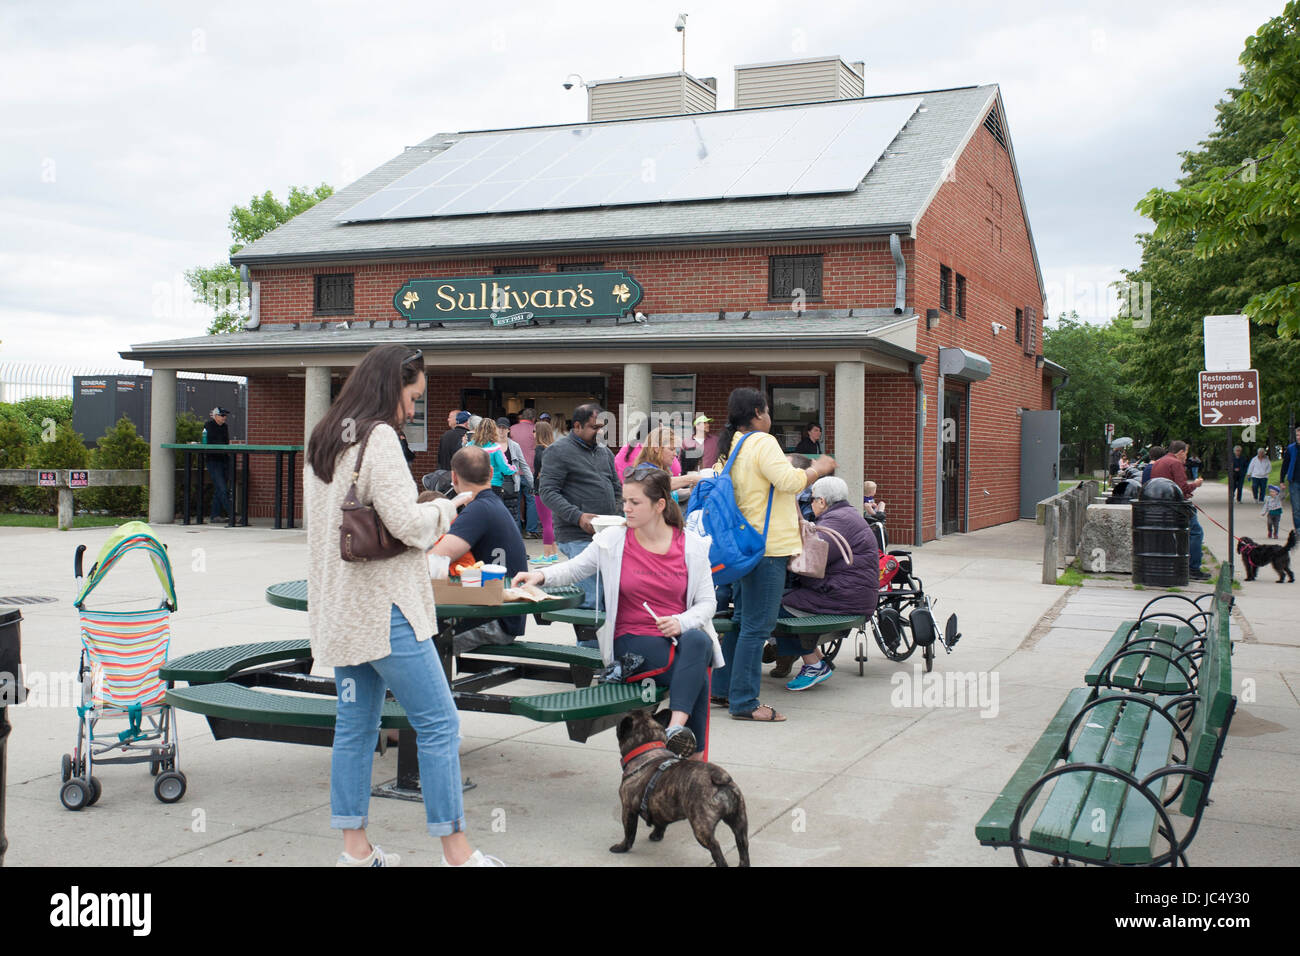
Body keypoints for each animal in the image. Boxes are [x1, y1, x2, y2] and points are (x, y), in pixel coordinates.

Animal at [608, 712, 754, 868]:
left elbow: (629, 833)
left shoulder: (628, 809)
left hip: (701, 828)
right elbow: (660, 824)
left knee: (716, 848)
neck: (647, 751)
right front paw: (656, 835)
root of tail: (719, 777)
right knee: (743, 844)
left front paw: (621, 847)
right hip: (739, 821)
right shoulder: (660, 809)